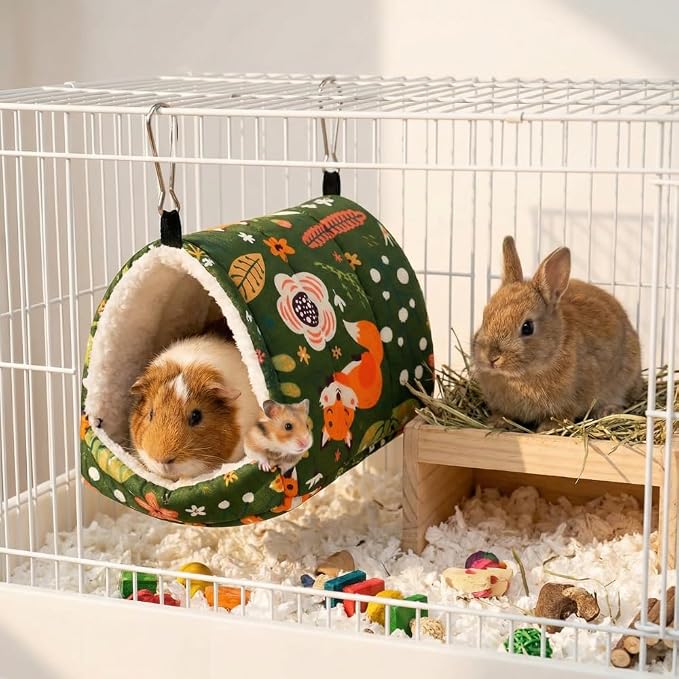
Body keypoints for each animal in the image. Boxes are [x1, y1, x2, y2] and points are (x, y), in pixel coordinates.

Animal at [472, 235, 644, 432]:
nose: (491, 358)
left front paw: (547, 428)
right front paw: (496, 423)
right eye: (485, 316)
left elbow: (562, 415)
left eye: (527, 327)